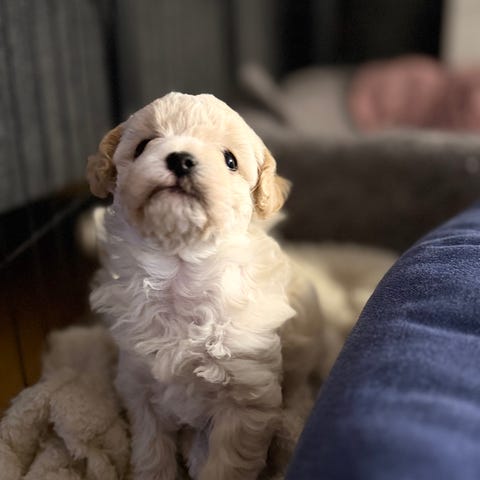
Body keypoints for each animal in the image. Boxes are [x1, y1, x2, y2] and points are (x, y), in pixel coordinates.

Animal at [87, 92, 328, 480]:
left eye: (230, 160)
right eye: (142, 146)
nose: (181, 159)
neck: (180, 269)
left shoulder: (246, 396)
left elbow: (227, 461)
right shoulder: (139, 385)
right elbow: (152, 451)